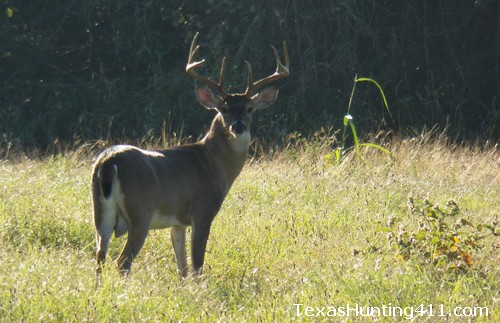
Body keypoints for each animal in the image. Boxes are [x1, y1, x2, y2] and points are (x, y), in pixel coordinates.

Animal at [92, 33, 292, 278]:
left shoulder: (178, 221)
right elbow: (197, 265)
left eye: (250, 109)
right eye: (224, 109)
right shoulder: (202, 210)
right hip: (140, 213)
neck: (212, 163)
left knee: (100, 257)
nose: (238, 127)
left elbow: (182, 267)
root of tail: (108, 162)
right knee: (122, 261)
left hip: (101, 213)